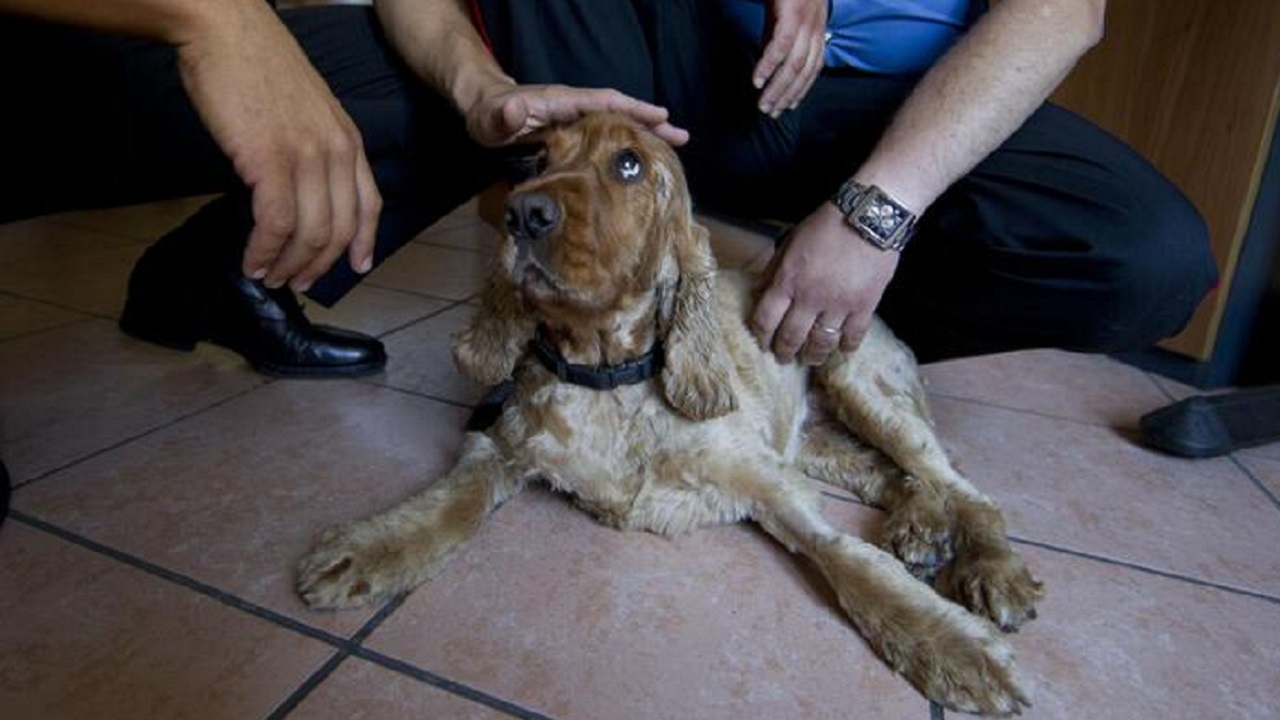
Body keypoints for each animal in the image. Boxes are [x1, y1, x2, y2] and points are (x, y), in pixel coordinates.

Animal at [294, 112, 1044, 712]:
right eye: (537, 159)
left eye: (629, 164)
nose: (521, 214)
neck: (604, 376)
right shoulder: (499, 445)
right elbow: (450, 502)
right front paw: (368, 549)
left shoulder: (768, 481)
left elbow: (848, 560)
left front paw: (953, 648)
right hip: (813, 438)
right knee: (891, 473)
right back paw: (921, 528)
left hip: (861, 384)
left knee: (962, 487)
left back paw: (990, 570)